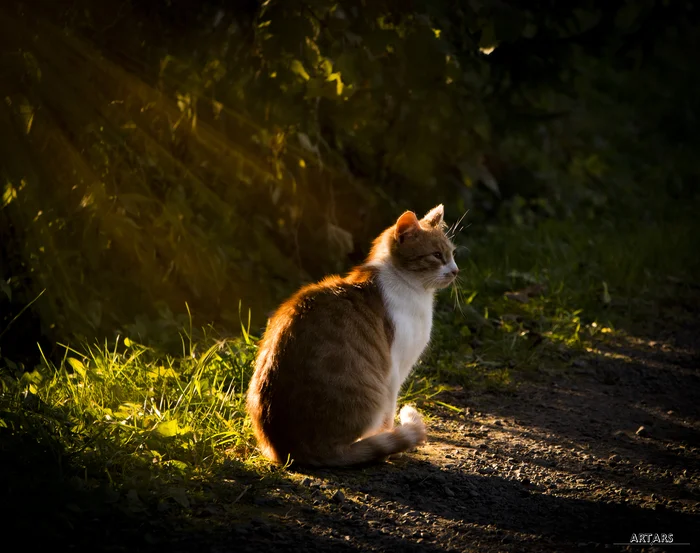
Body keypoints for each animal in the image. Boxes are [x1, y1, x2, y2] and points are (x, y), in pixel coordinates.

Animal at [247, 205, 460, 464]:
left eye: (452, 254)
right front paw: (390, 439)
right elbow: (388, 417)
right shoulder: (394, 372)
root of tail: (293, 449)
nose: (455, 271)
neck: (412, 289)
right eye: (437, 255)